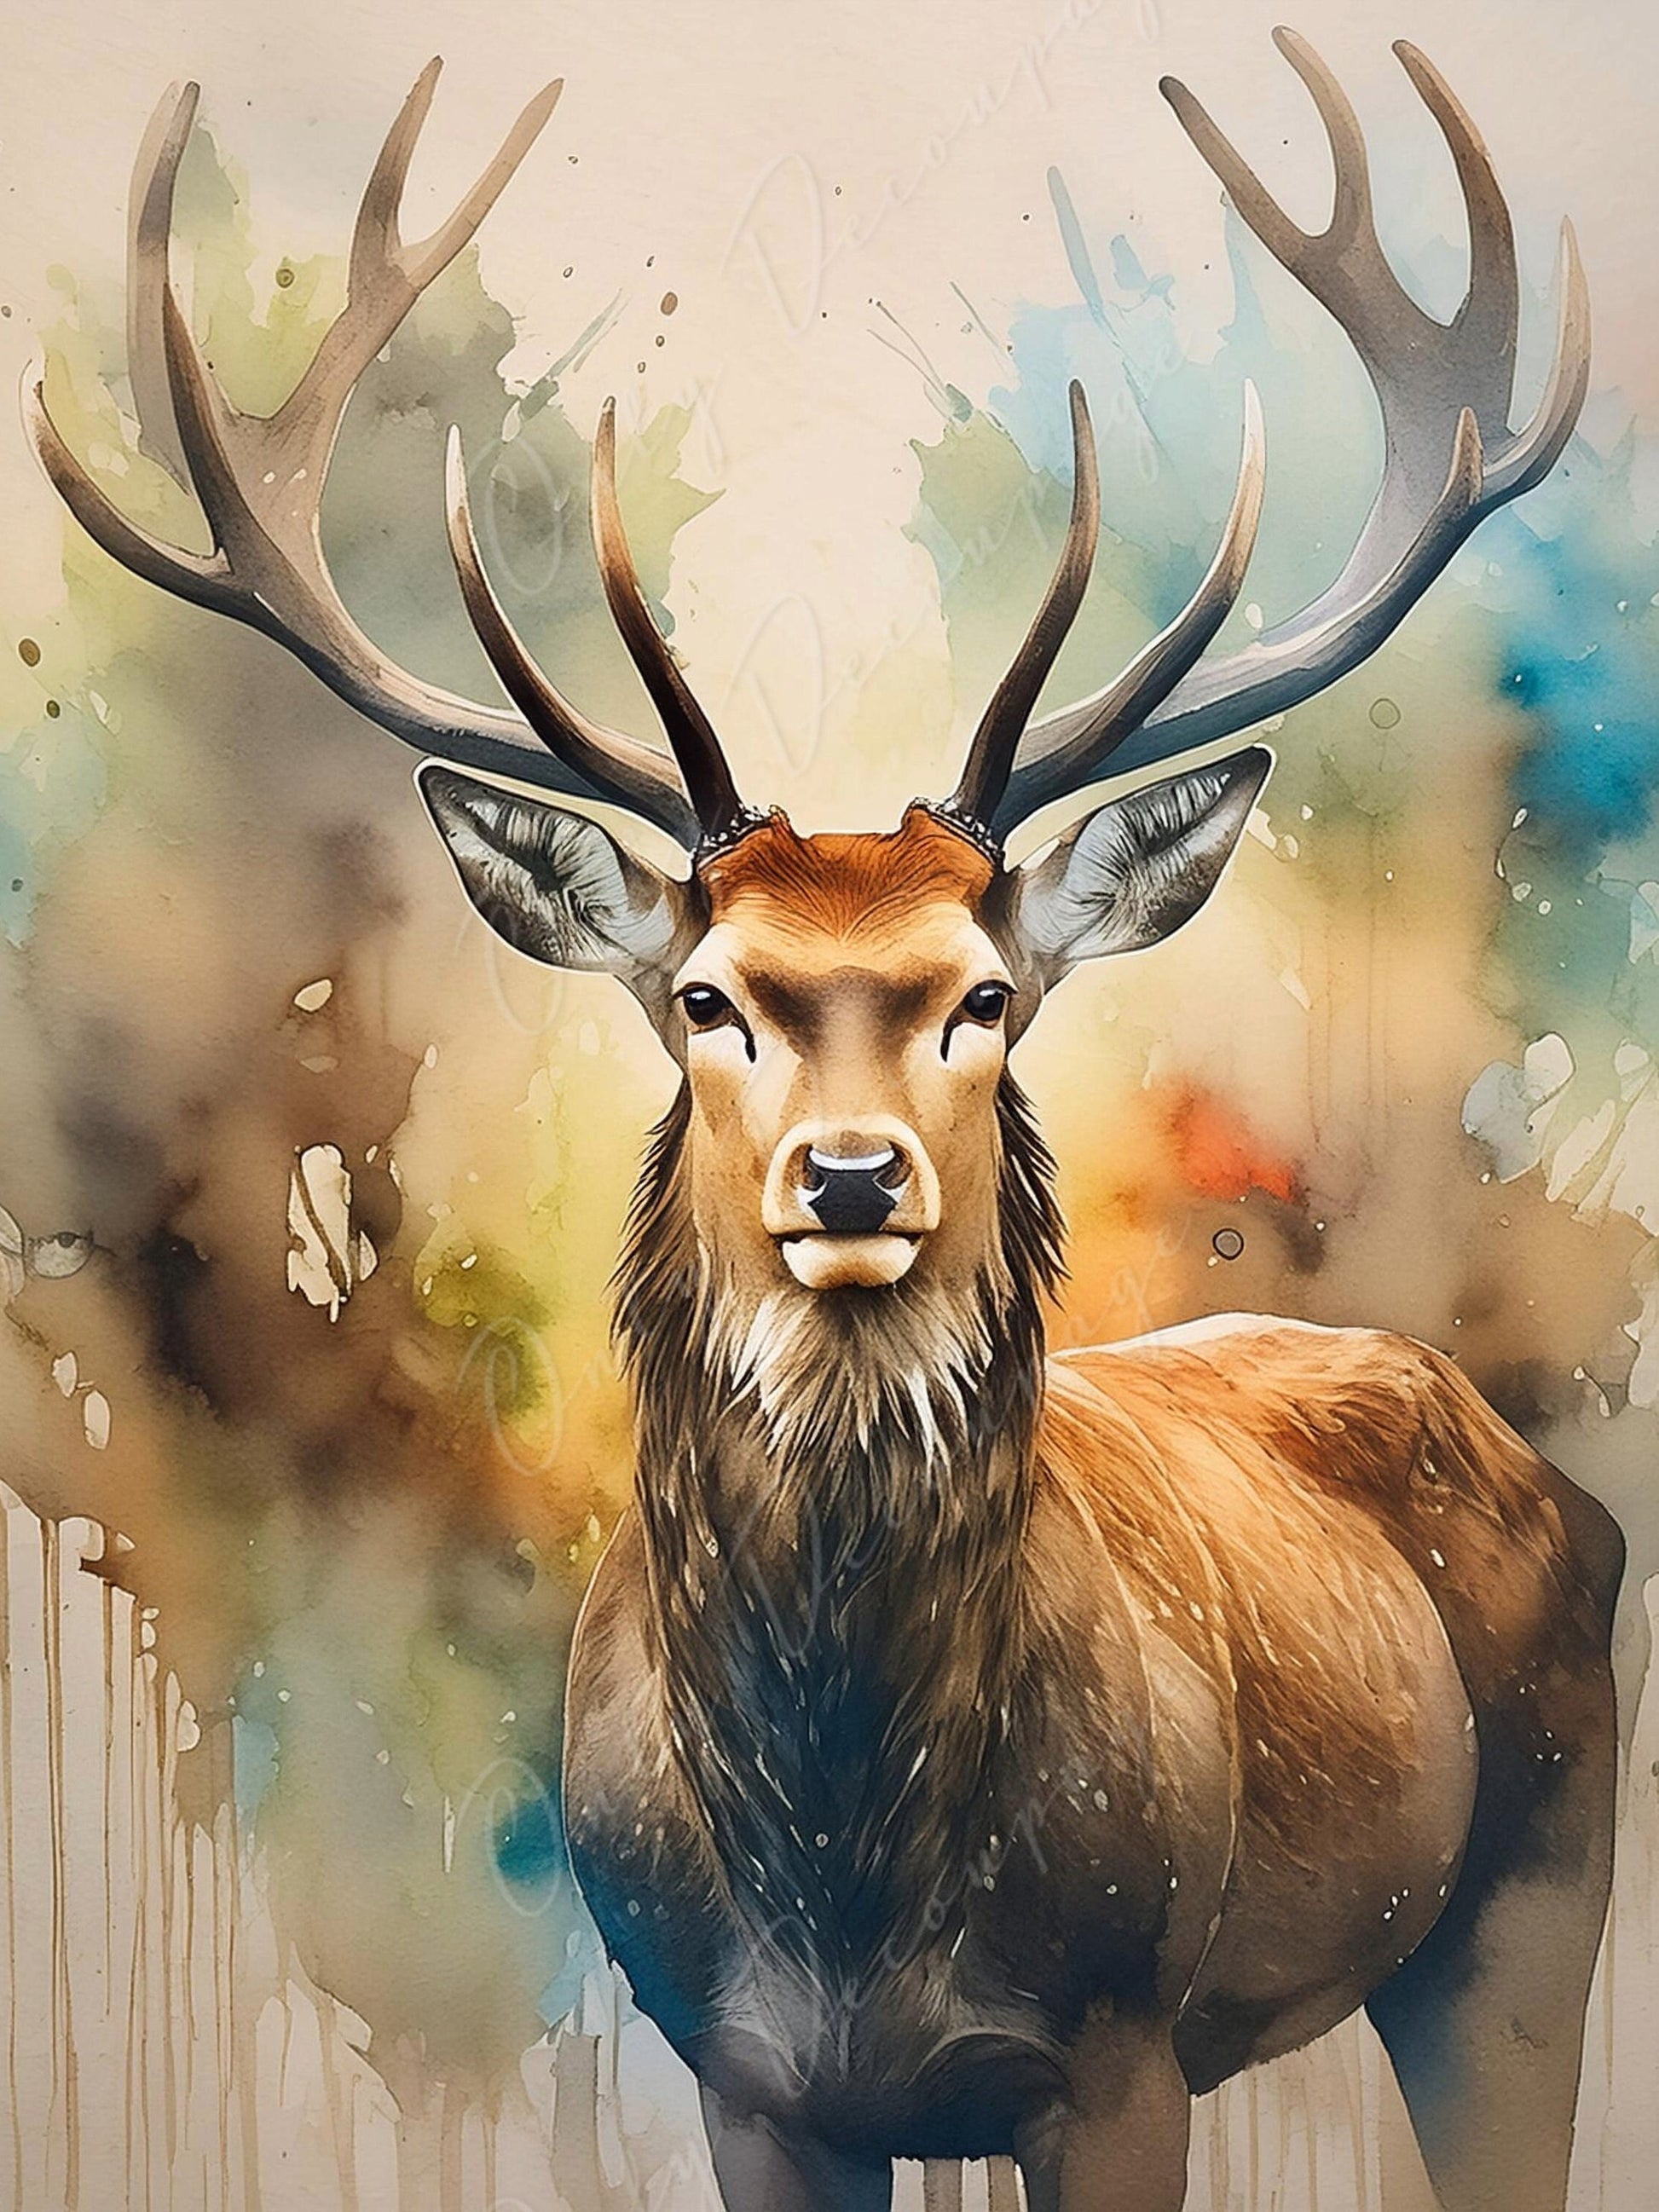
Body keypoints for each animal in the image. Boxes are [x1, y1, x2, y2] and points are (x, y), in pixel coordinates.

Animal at [30, 29, 1622, 2212]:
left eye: (985, 996)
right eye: (707, 996)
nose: (854, 1173)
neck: (849, 1888)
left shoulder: (1119, 2041)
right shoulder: (742, 2070)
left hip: (1531, 1890)